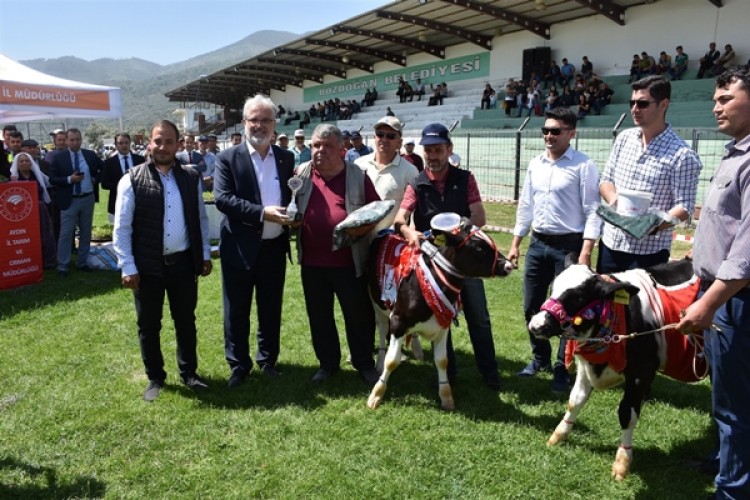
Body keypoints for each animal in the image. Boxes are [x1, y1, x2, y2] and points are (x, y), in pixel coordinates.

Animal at [368, 215, 516, 410]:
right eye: (478, 248)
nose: (508, 265)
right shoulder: (398, 321)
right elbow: (391, 361)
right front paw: (376, 394)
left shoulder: (443, 324)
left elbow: (442, 361)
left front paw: (446, 397)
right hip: (378, 305)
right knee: (382, 330)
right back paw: (379, 361)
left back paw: (417, 351)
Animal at [524, 258, 708, 480]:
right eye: (553, 286)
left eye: (577, 296)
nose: (536, 325)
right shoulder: (585, 367)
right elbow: (574, 401)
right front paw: (558, 435)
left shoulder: (640, 372)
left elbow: (627, 414)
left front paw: (622, 462)